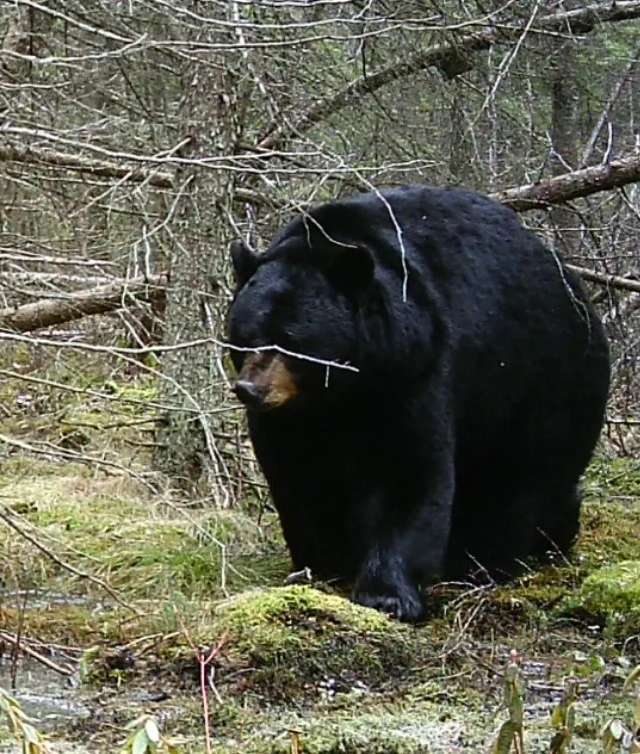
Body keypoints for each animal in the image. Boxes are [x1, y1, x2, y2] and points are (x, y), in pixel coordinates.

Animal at [227, 185, 610, 622]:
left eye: (290, 340)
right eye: (244, 335)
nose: (249, 390)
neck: (343, 389)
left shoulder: (415, 369)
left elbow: (410, 469)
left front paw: (387, 595)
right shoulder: (292, 418)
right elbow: (297, 475)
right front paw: (321, 564)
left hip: (542, 386)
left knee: (523, 480)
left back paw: (491, 559)